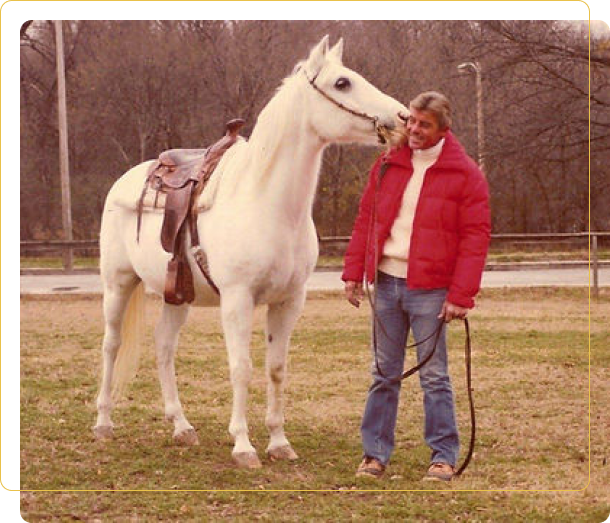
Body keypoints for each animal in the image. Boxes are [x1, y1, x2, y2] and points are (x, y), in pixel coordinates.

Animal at [95, 36, 406, 470]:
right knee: (112, 344)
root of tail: (126, 180)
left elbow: (276, 368)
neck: (267, 203)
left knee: (163, 347)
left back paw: (181, 426)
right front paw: (243, 445)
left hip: (177, 295)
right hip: (118, 285)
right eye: (342, 82)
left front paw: (278, 441)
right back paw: (103, 422)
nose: (403, 117)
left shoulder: (289, 302)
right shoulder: (237, 300)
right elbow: (241, 368)